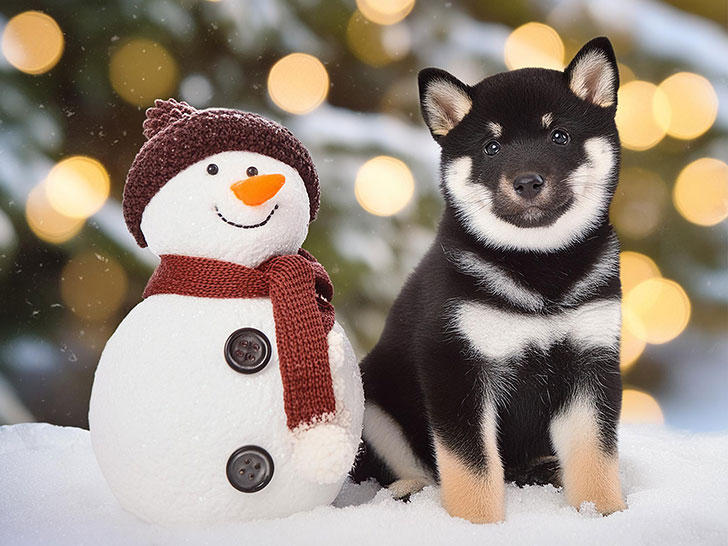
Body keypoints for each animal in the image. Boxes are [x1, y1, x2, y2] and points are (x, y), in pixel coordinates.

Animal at [352, 36, 624, 520]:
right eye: (491, 146)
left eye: (559, 135)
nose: (527, 181)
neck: (538, 267)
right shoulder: (455, 364)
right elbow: (472, 465)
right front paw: (477, 524)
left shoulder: (591, 360)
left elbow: (595, 456)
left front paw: (603, 513)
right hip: (374, 403)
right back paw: (409, 490)